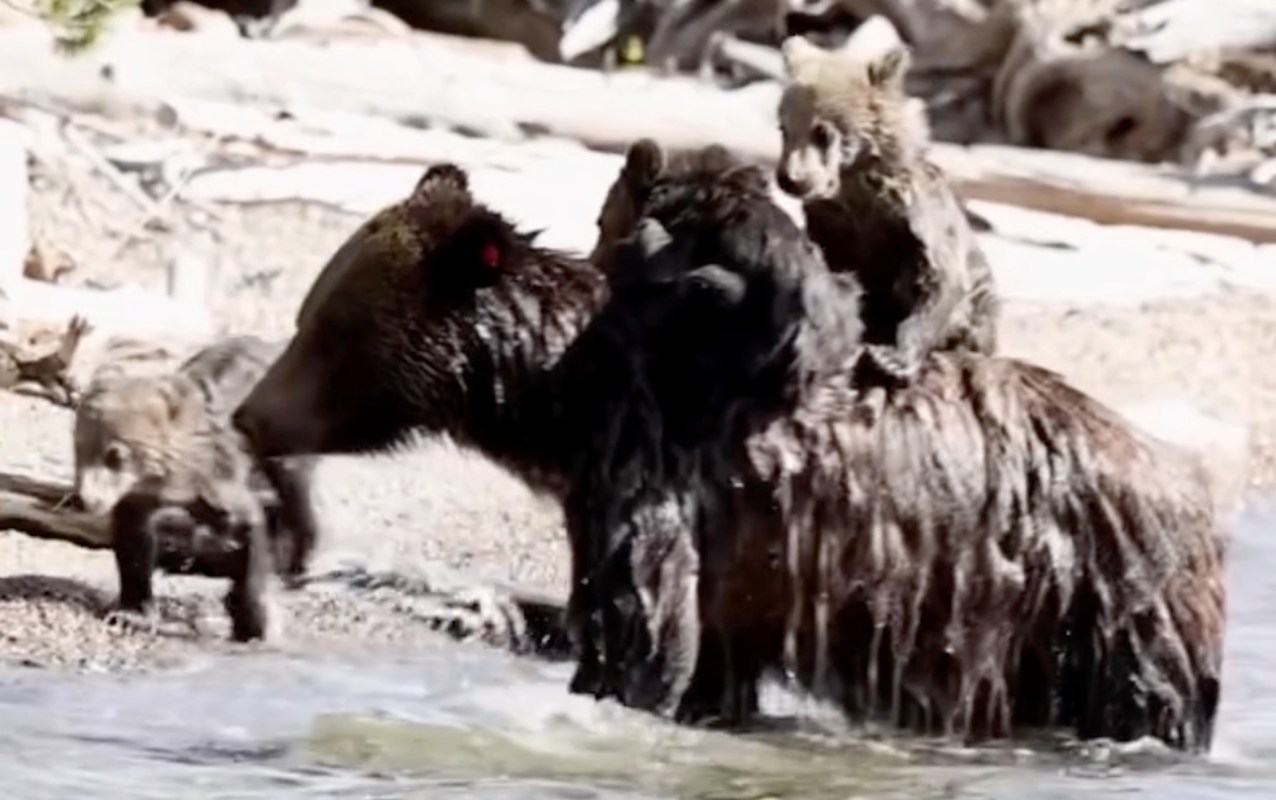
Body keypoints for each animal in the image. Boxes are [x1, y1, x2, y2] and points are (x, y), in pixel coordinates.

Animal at [74, 334, 321, 640]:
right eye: (78, 448)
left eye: (115, 455)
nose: (84, 499)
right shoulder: (141, 497)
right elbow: (134, 539)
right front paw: (133, 610)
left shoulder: (218, 475)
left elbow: (248, 525)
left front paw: (252, 621)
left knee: (294, 491)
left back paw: (295, 568)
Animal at [230, 160, 1225, 751]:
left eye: (322, 330)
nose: (249, 416)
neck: (563, 402)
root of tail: (1188, 484)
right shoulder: (739, 556)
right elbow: (711, 656)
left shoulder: (651, 475)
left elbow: (640, 627)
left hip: (1099, 604)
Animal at [775, 34, 1000, 385]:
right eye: (783, 128)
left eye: (822, 132)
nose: (790, 179)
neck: (855, 192)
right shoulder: (831, 227)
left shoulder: (912, 221)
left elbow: (935, 280)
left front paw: (891, 359)